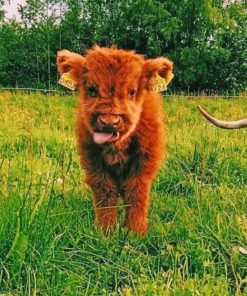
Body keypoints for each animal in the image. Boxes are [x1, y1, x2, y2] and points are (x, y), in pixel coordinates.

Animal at [57, 46, 173, 236]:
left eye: (132, 91)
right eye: (91, 89)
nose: (109, 122)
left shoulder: (144, 163)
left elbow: (136, 192)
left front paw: (135, 232)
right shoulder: (94, 163)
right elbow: (105, 193)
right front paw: (105, 232)